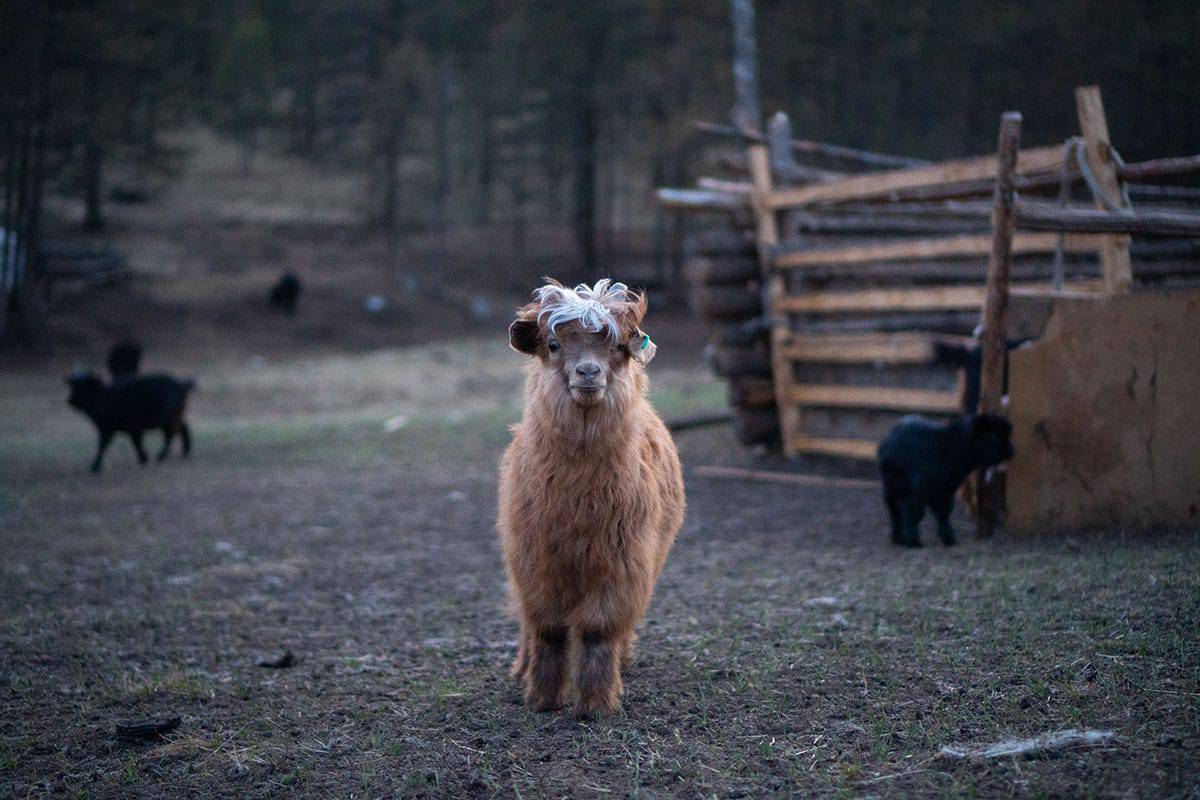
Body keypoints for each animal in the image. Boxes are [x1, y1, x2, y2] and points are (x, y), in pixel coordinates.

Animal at [65, 371, 194, 472]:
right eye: (73, 386)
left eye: (84, 386)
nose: (70, 401)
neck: (107, 399)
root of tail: (182, 386)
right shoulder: (107, 429)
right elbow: (102, 445)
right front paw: (95, 466)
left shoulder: (133, 426)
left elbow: (135, 442)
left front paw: (143, 458)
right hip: (174, 417)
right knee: (183, 428)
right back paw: (184, 451)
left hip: (168, 418)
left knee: (171, 433)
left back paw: (161, 455)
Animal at [496, 278, 686, 714]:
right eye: (552, 345)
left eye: (617, 347)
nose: (587, 371)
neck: (579, 506)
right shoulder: (536, 562)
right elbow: (547, 629)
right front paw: (543, 697)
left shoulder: (621, 563)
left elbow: (599, 630)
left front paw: (597, 702)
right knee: (527, 624)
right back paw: (522, 666)